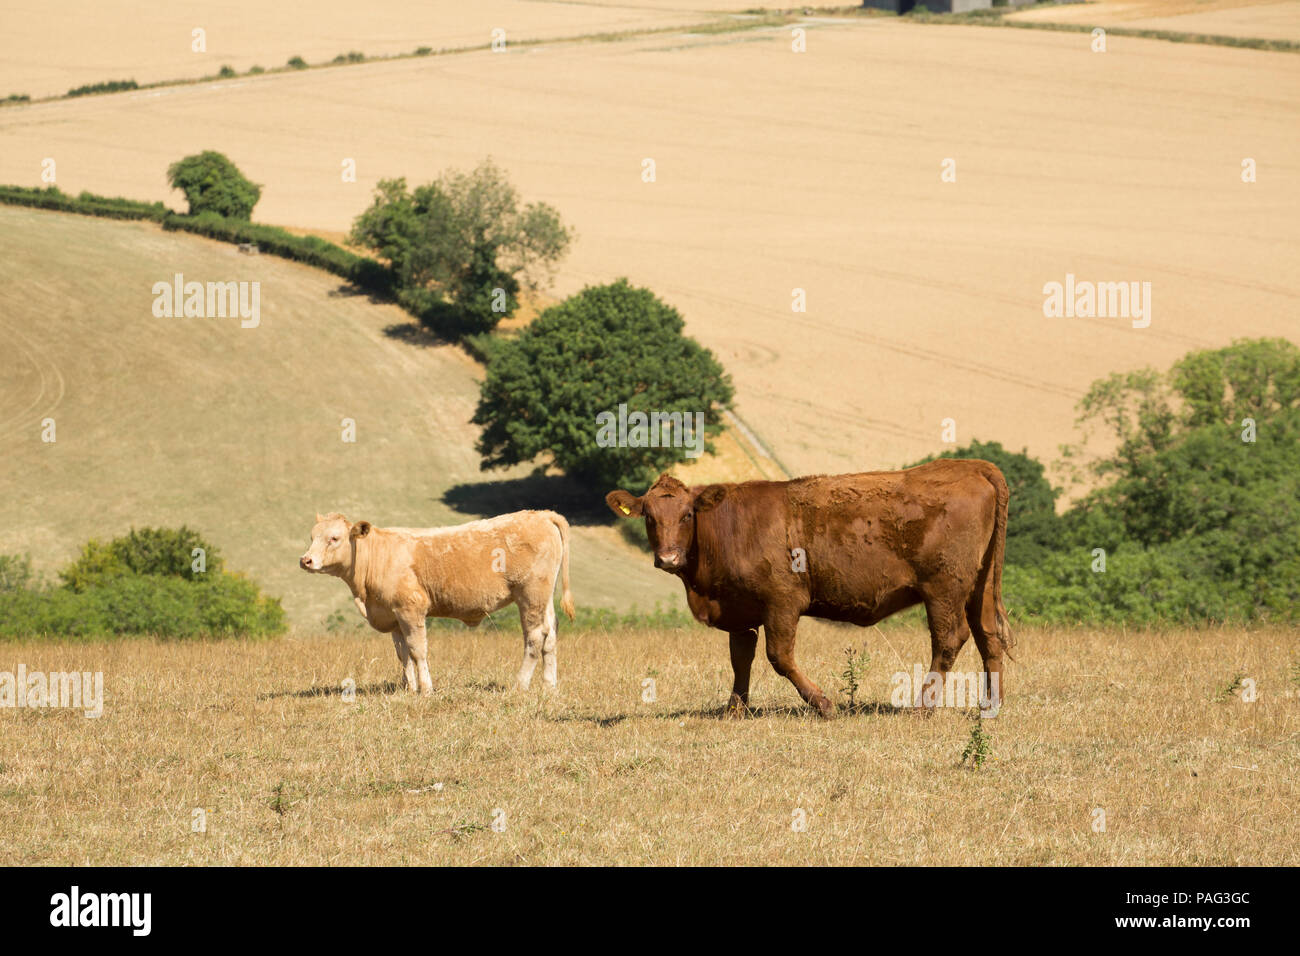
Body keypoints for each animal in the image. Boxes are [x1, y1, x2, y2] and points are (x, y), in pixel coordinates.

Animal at [302, 509, 574, 697]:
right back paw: (549, 686)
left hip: (530, 595)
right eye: (312, 536)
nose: (306, 560)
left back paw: (520, 685)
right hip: (544, 599)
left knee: (535, 637)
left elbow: (417, 650)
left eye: (334, 538)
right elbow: (402, 654)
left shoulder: (410, 609)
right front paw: (408, 688)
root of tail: (541, 514)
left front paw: (425, 689)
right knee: (550, 635)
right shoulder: (393, 616)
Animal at [603, 463, 1008, 717]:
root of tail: (971, 466)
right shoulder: (739, 609)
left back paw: (924, 706)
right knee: (988, 636)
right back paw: (991, 704)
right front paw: (734, 709)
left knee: (948, 640)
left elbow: (779, 657)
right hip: (980, 588)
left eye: (687, 515)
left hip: (944, 589)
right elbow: (740, 658)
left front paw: (823, 704)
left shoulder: (782, 601)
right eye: (650, 518)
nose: (668, 558)